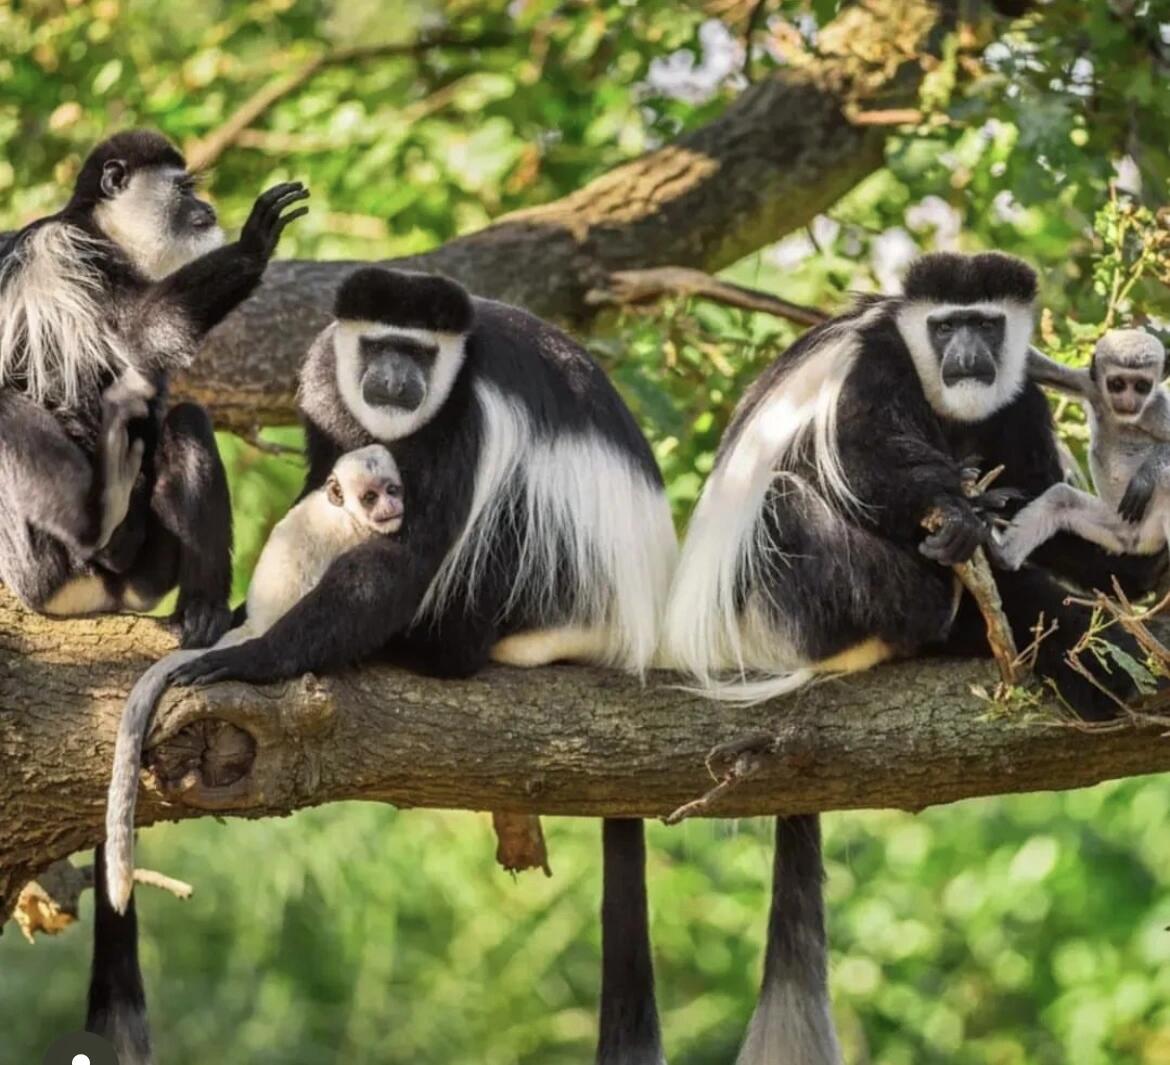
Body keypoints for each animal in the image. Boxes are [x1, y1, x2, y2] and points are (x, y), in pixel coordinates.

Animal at [0, 129, 307, 1064]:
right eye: (185, 186)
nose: (206, 206)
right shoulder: (73, 259)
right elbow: (142, 335)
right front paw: (255, 240)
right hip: (52, 549)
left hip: (141, 564)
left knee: (184, 423)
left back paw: (206, 610)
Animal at [995, 330, 1170, 568]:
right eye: (1117, 384)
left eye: (1142, 386)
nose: (1128, 401)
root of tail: (1135, 541)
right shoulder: (1089, 384)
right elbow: (1036, 365)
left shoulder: (1159, 408)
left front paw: (1143, 479)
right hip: (1114, 527)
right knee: (1060, 498)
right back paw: (1002, 556)